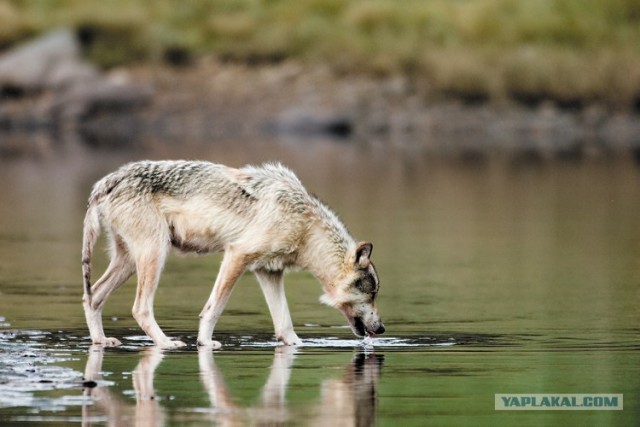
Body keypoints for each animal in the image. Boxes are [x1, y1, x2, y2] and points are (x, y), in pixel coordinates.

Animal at [84, 160, 384, 348]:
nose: (382, 329)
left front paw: (298, 344)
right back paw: (167, 343)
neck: (306, 226)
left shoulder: (269, 272)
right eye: (372, 293)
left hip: (128, 262)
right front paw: (205, 342)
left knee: (93, 297)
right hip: (154, 255)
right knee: (140, 308)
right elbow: (213, 309)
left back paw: (101, 341)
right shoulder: (237, 255)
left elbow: (284, 324)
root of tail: (105, 182)